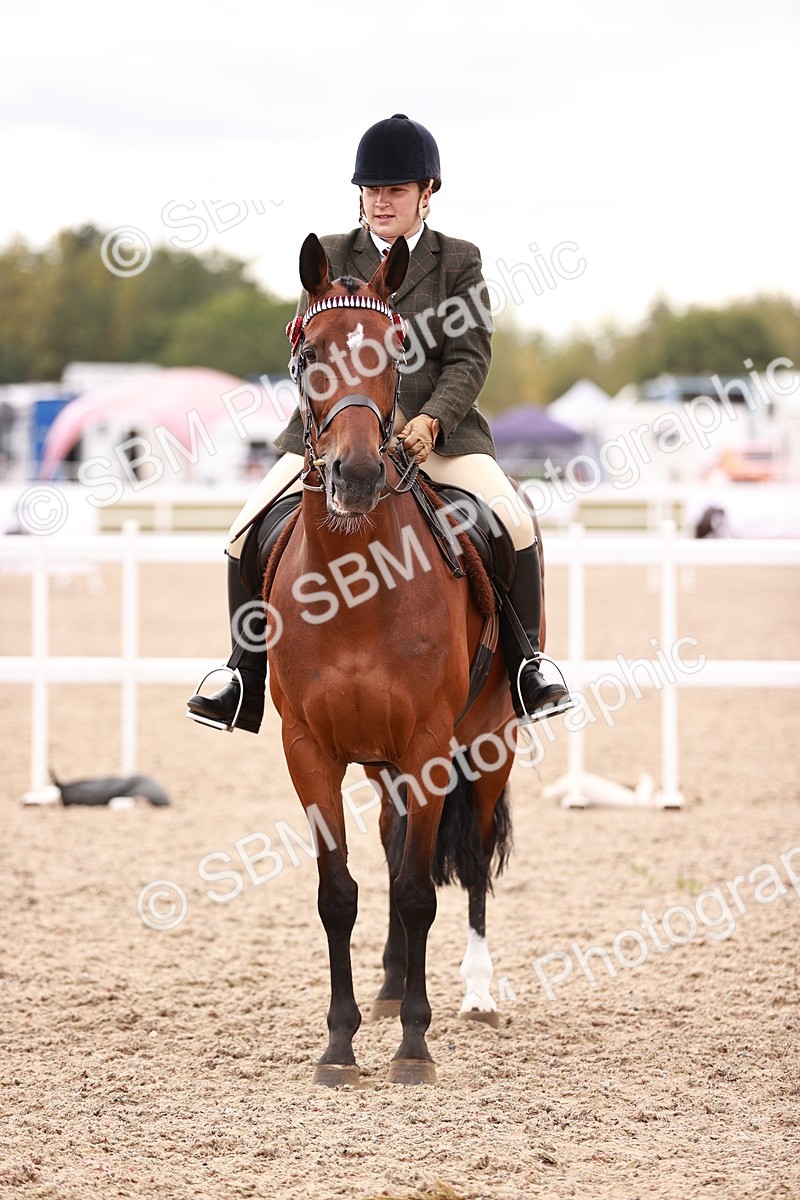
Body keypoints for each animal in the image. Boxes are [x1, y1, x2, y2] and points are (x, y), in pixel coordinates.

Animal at [265, 233, 526, 1086]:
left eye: (393, 352)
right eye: (307, 353)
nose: (356, 475)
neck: (355, 585)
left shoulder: (430, 744)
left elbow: (419, 892)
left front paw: (415, 1043)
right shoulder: (309, 749)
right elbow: (339, 893)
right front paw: (340, 1043)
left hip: (489, 742)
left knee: (469, 861)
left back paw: (474, 993)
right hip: (382, 764)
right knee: (387, 841)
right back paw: (384, 986)